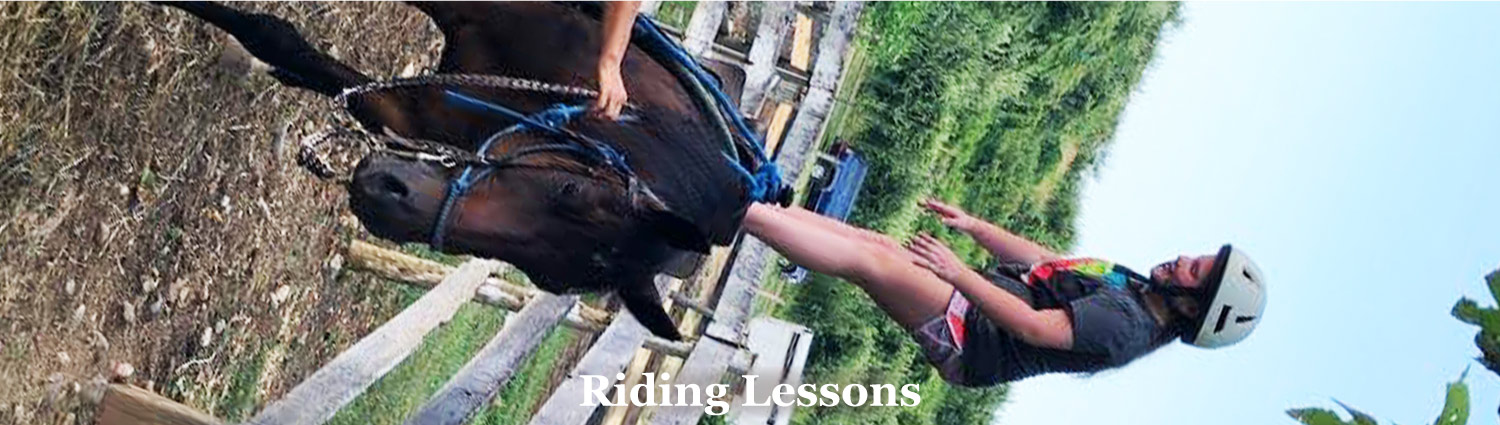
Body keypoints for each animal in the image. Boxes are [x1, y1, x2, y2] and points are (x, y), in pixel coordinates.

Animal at [159, 0, 780, 339]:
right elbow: (274, 34)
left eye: (548, 278)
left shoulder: (422, 112)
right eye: (569, 188)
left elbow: (292, 50)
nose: (384, 198)